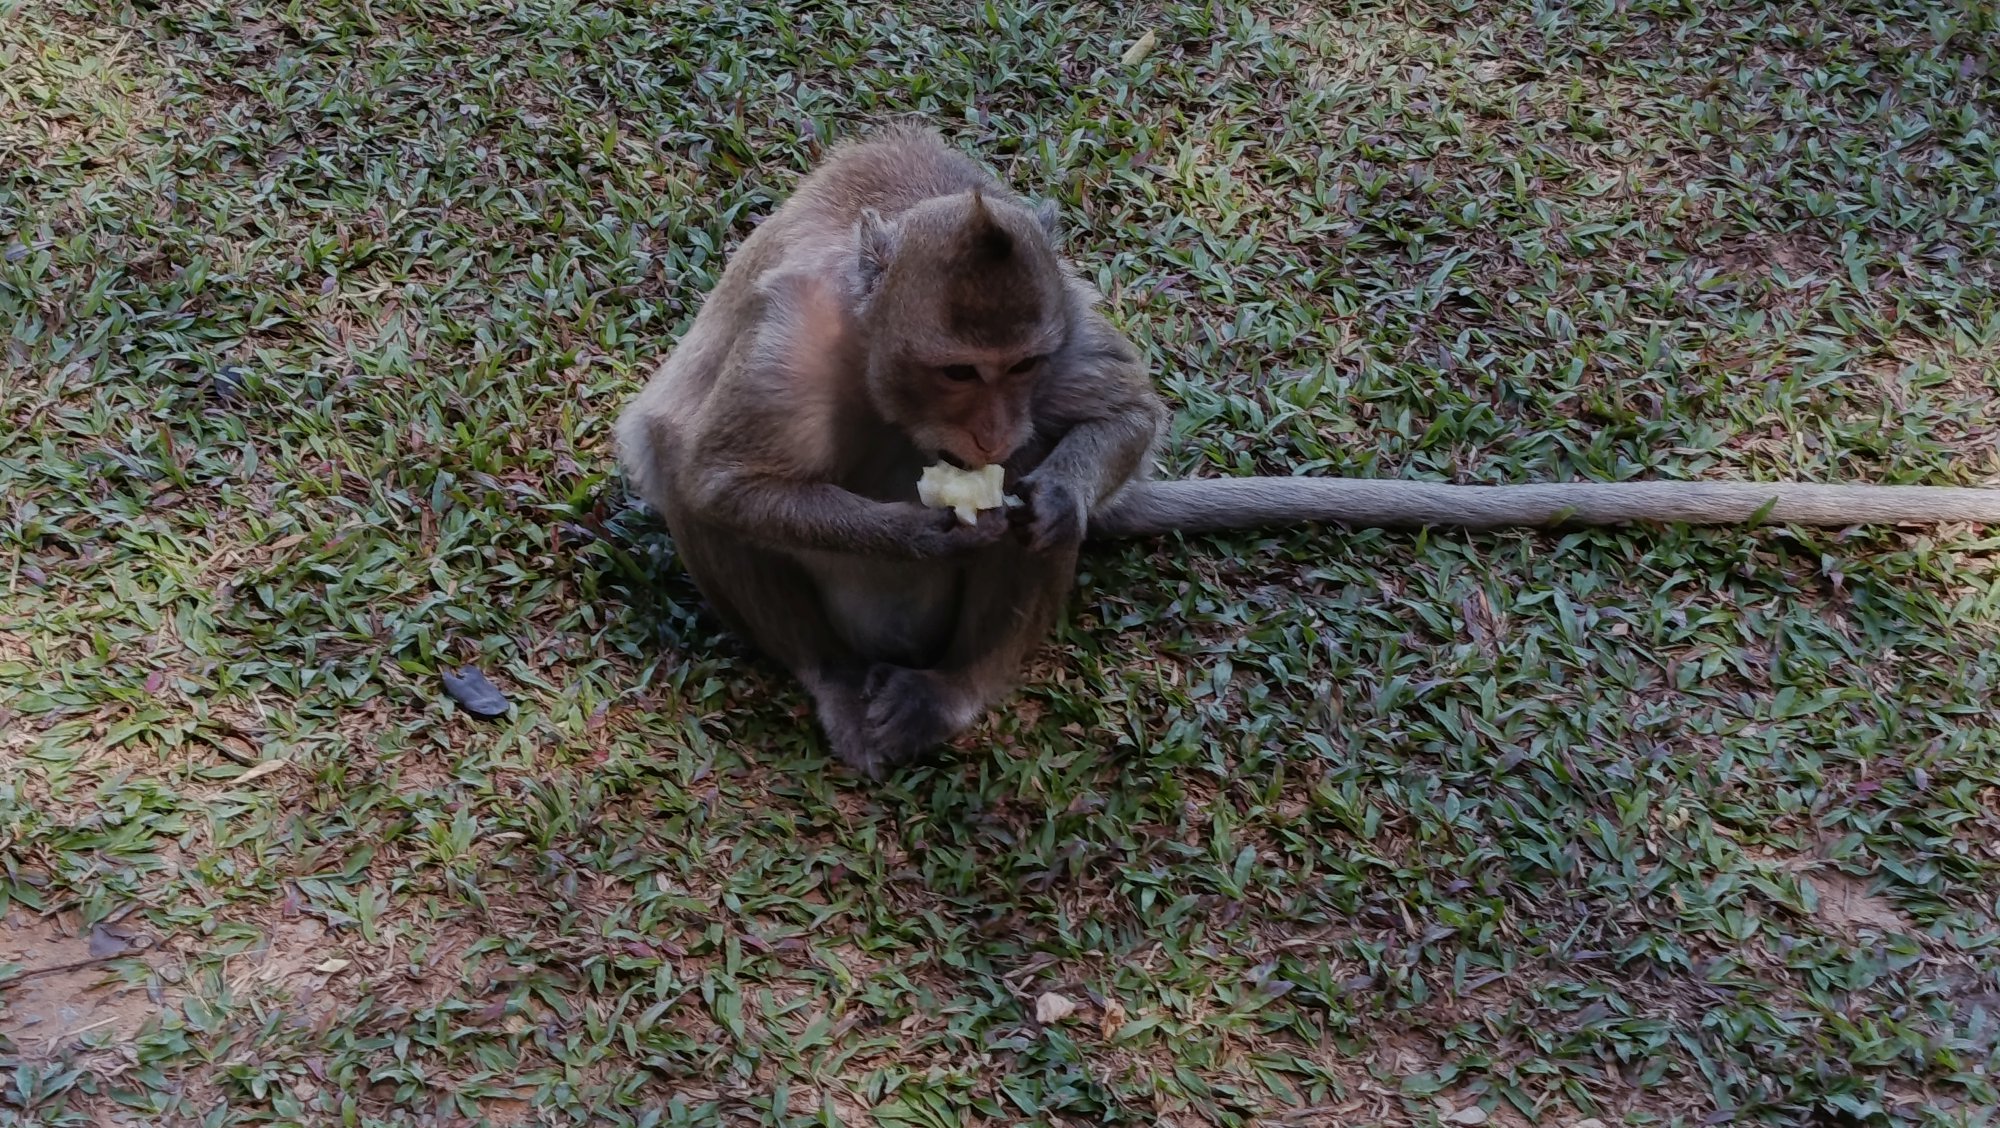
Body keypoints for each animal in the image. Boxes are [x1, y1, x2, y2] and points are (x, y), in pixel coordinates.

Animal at [615, 122, 2000, 779]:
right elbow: (716, 474)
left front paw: (1039, 488)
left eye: (1013, 367)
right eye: (959, 370)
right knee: (677, 472)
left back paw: (961, 684)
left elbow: (1117, 416)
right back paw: (835, 679)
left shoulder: (1059, 305)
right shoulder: (791, 331)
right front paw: (922, 524)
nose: (997, 432)